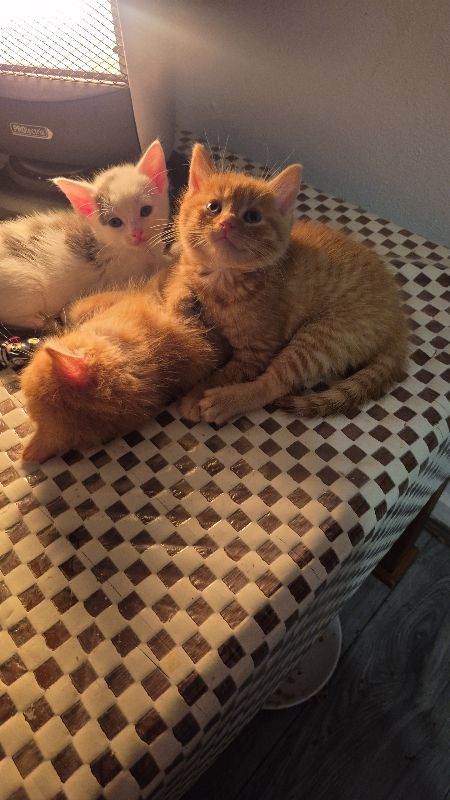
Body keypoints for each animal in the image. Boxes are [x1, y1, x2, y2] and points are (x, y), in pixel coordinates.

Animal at [0, 140, 169, 330]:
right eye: (115, 222)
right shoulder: (121, 278)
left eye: (146, 210)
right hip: (28, 286)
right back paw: (38, 320)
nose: (137, 234)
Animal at [165, 143, 408, 425]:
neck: (221, 278)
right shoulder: (183, 267)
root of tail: (398, 321)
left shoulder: (257, 351)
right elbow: (176, 282)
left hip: (321, 337)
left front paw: (197, 395)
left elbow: (226, 374)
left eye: (252, 216)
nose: (226, 223)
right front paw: (181, 300)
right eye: (214, 206)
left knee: (274, 384)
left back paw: (226, 401)